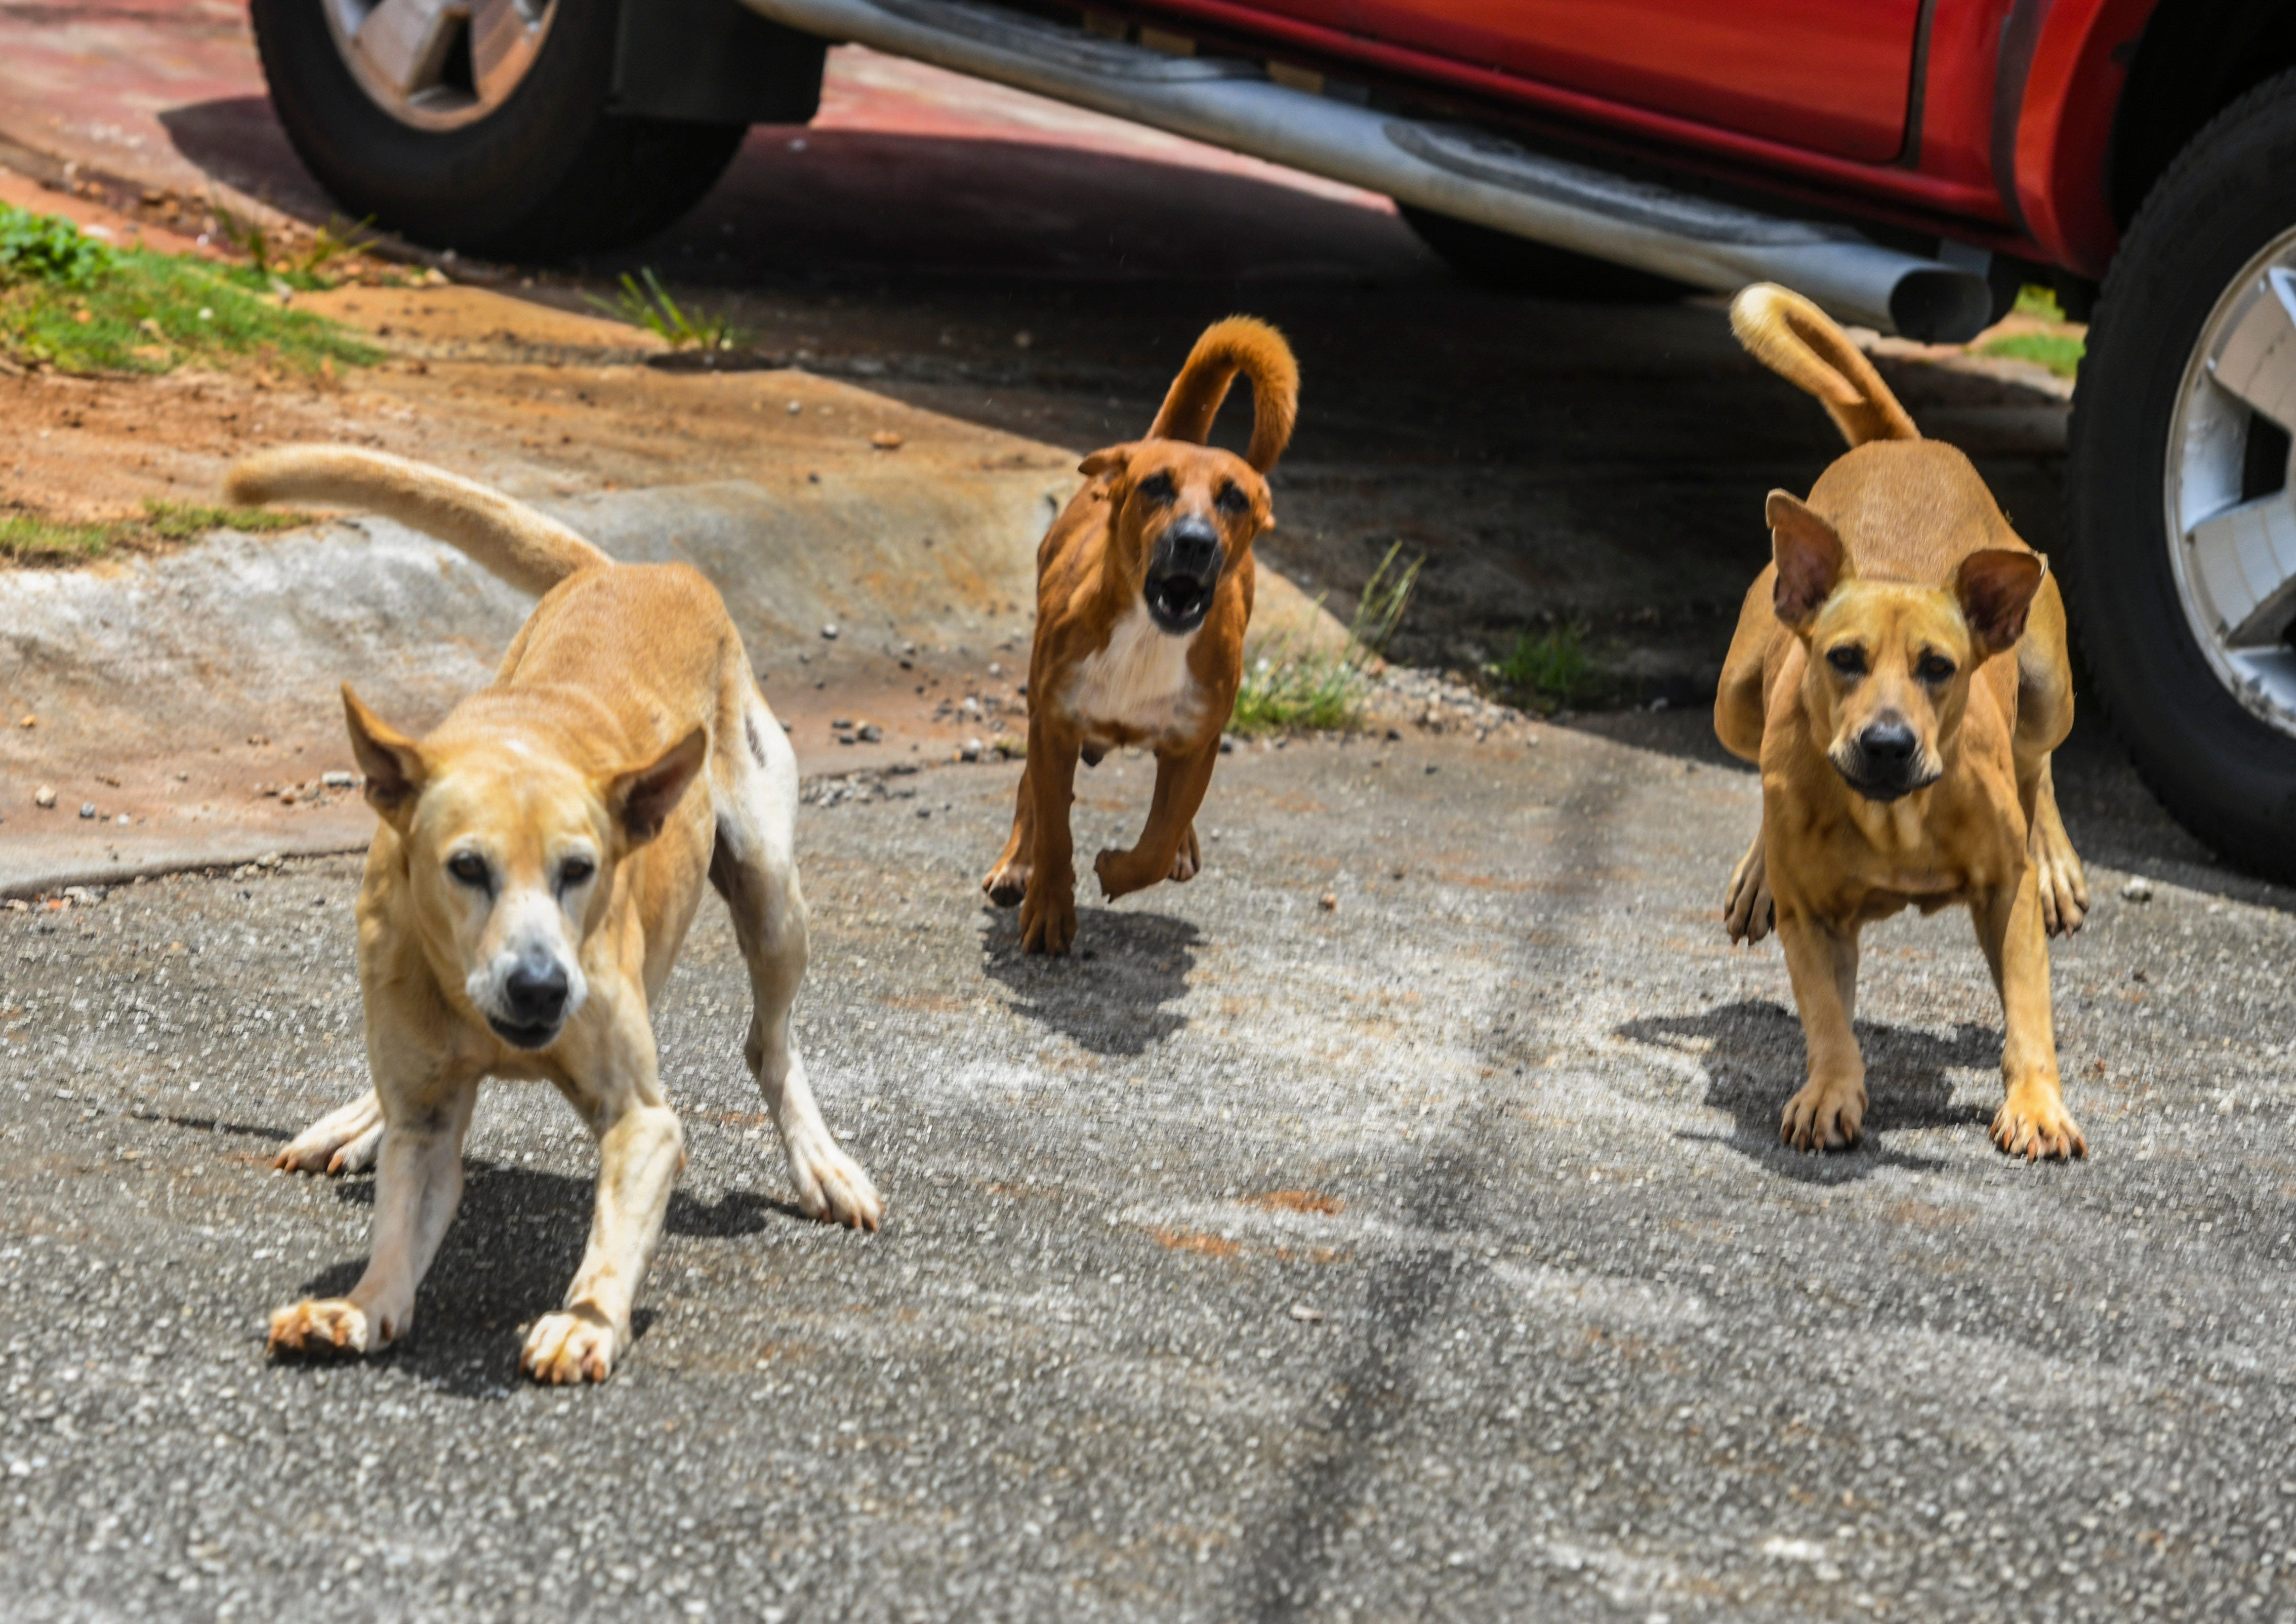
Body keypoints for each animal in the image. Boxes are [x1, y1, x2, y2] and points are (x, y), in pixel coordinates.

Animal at [233, 448, 877, 1387]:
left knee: (771, 1042)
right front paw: (358, 1304)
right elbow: (402, 1213)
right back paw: (354, 1123)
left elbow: (618, 1224)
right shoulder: (426, 1115)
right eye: (466, 868)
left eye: (582, 870)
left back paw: (821, 1162)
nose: (540, 988)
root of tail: (635, 569)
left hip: (769, 888)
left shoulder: (644, 1120)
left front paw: (585, 1322)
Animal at [987, 317, 1304, 951]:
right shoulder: (1054, 725)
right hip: (1038, 706)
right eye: (1156, 485)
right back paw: (1016, 863)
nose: (1195, 542)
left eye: (1234, 497)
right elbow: (1054, 826)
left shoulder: (1195, 742)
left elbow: (1157, 841)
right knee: (1030, 792)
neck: (1147, 636)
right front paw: (1050, 904)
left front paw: (1118, 868)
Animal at [1717, 286, 2094, 1162]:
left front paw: (2038, 1105)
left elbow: (2029, 1014)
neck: (1894, 816)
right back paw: (1756, 872)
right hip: (1736, 696)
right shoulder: (1815, 918)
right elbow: (1826, 1013)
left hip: (2046, 684)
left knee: (2040, 763)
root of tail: (1907, 444)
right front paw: (1830, 1091)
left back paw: (2058, 860)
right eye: (1844, 658)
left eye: (1939, 668)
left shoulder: (2003, 892)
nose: (1887, 746)